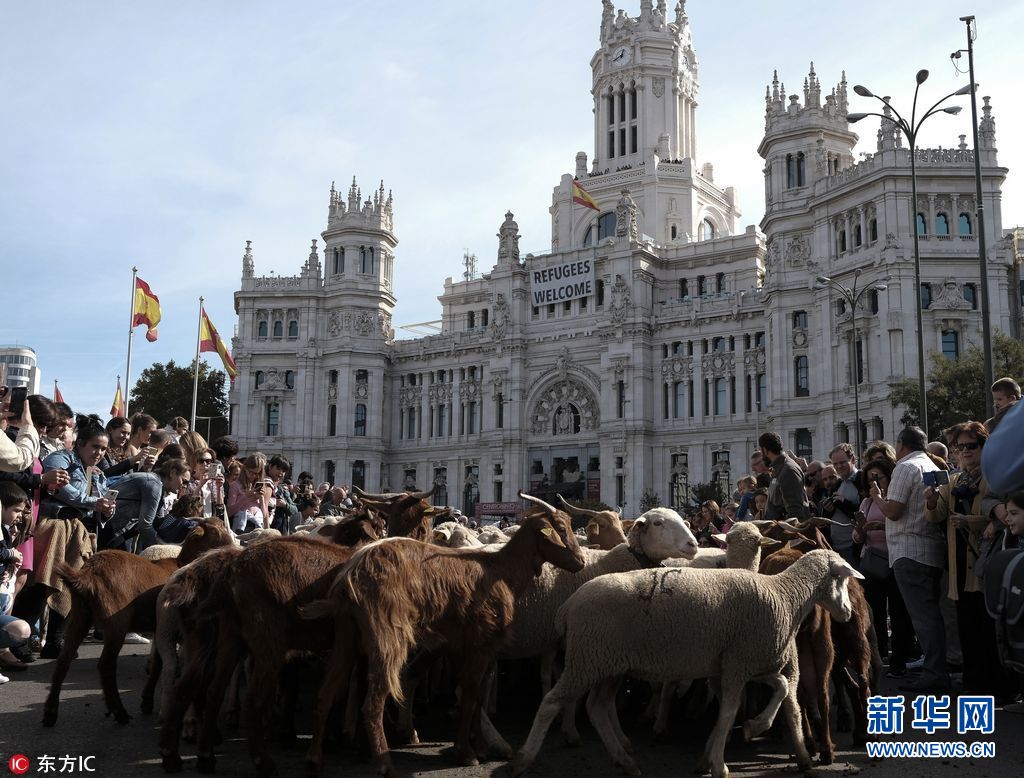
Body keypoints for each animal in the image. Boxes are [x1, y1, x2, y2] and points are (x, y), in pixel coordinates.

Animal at [41, 520, 234, 724]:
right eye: (217, 530)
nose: (233, 547)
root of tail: (87, 575)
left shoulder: (159, 628)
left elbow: (158, 663)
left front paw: (147, 700)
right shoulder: (162, 626)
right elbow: (158, 664)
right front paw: (147, 701)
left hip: (79, 616)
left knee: (63, 661)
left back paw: (50, 713)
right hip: (116, 622)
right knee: (106, 665)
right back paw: (120, 712)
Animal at [157, 509, 385, 773]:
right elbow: (348, 692)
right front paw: (350, 744)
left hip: (220, 639)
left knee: (200, 688)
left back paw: (188, 755)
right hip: (266, 640)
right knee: (250, 698)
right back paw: (262, 760)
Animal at [299, 495, 585, 773]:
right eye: (560, 528)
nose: (580, 562)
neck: (502, 571)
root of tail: (351, 574)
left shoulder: (470, 647)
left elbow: (476, 695)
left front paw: (477, 746)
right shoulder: (480, 644)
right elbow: (470, 693)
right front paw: (468, 753)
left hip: (346, 637)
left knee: (325, 694)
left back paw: (314, 758)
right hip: (387, 640)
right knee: (372, 703)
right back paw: (384, 763)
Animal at [512, 548, 864, 778]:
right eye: (841, 580)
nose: (848, 612)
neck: (785, 594)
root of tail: (568, 606)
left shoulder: (744, 661)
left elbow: (778, 689)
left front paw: (744, 733)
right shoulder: (739, 664)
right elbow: (730, 711)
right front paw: (721, 762)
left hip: (606, 663)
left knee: (597, 707)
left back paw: (625, 760)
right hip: (586, 660)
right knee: (552, 702)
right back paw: (524, 759)